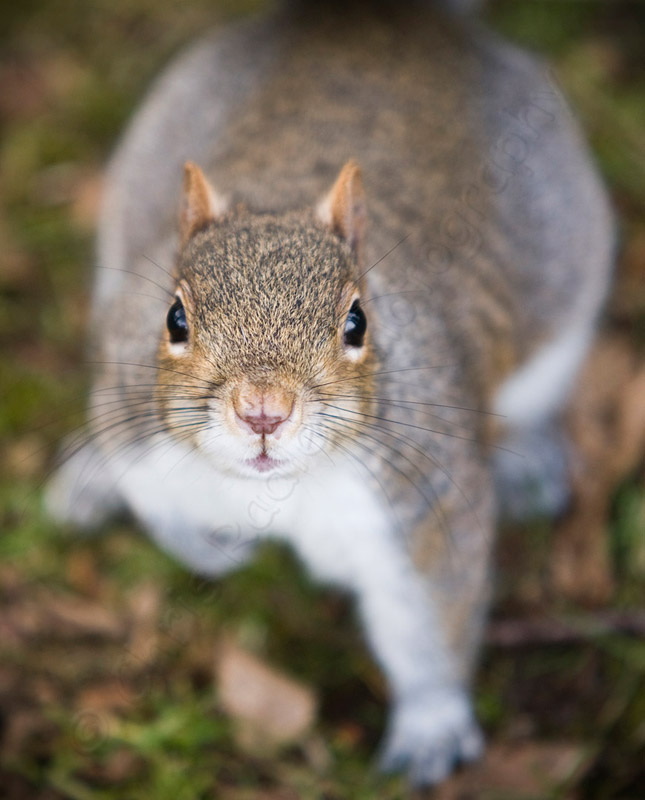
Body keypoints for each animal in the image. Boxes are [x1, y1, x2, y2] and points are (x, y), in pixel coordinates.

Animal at [46, 0, 615, 787]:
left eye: (357, 321)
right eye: (174, 318)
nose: (262, 409)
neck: (276, 493)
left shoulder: (422, 505)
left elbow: (430, 622)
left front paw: (431, 724)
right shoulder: (139, 435)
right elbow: (157, 509)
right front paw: (210, 549)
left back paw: (531, 461)